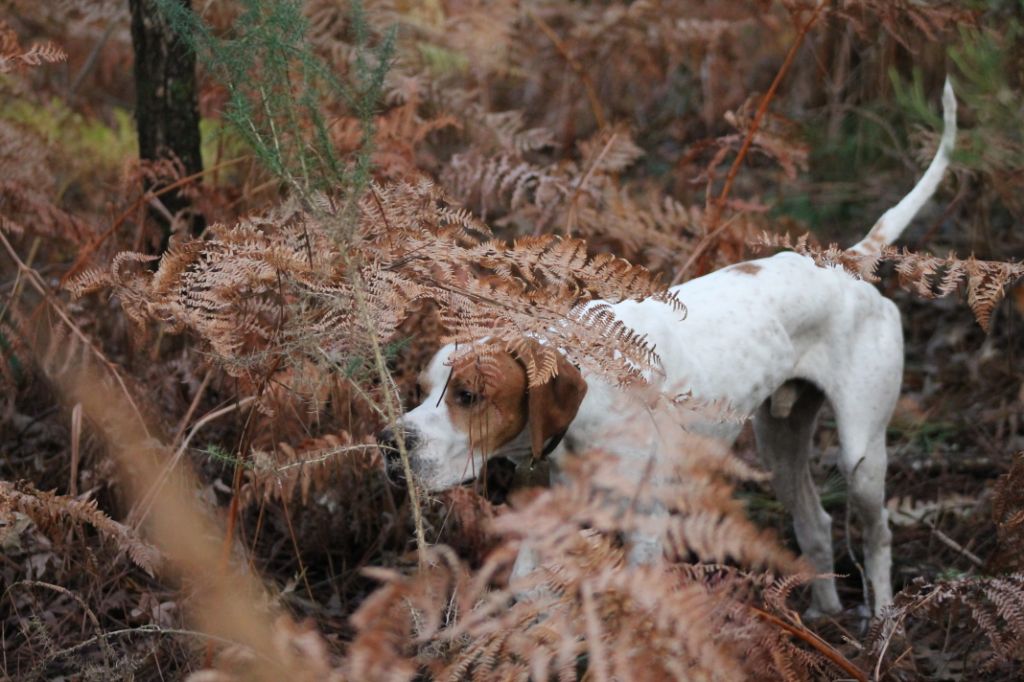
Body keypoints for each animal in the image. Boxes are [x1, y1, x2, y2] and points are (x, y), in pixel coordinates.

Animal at [380, 82, 954, 614]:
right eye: (421, 389)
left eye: (469, 396)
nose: (391, 443)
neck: (591, 394)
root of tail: (847, 263)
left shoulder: (646, 527)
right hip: (780, 446)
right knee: (815, 521)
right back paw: (825, 612)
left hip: (862, 456)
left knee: (877, 534)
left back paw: (882, 620)